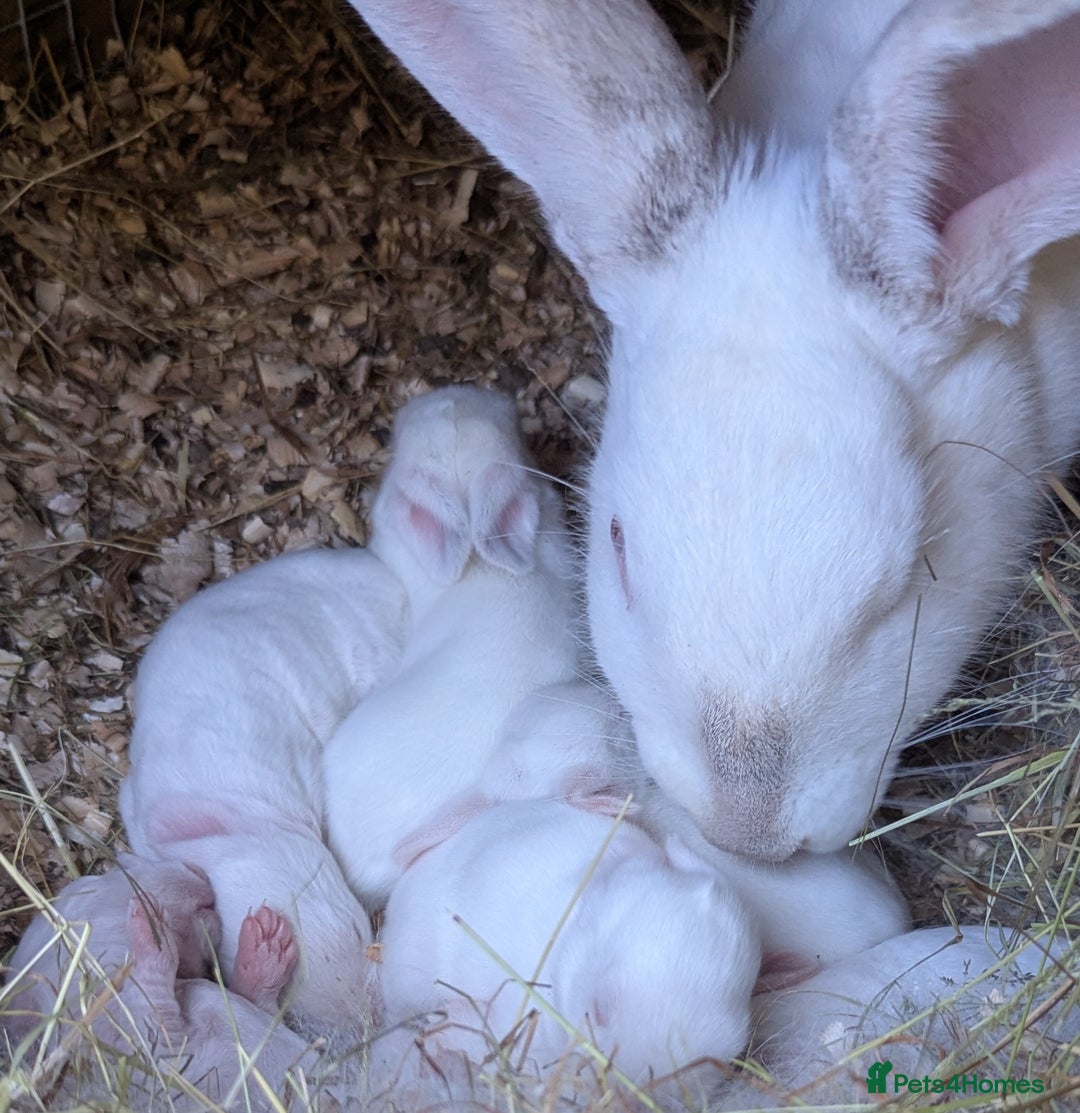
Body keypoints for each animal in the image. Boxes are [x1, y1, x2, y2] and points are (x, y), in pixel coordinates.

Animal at [0, 855, 322, 1112]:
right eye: (103, 877)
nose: (193, 867)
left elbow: (264, 1008)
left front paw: (267, 942)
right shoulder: (143, 1054)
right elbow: (156, 1017)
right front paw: (150, 924)